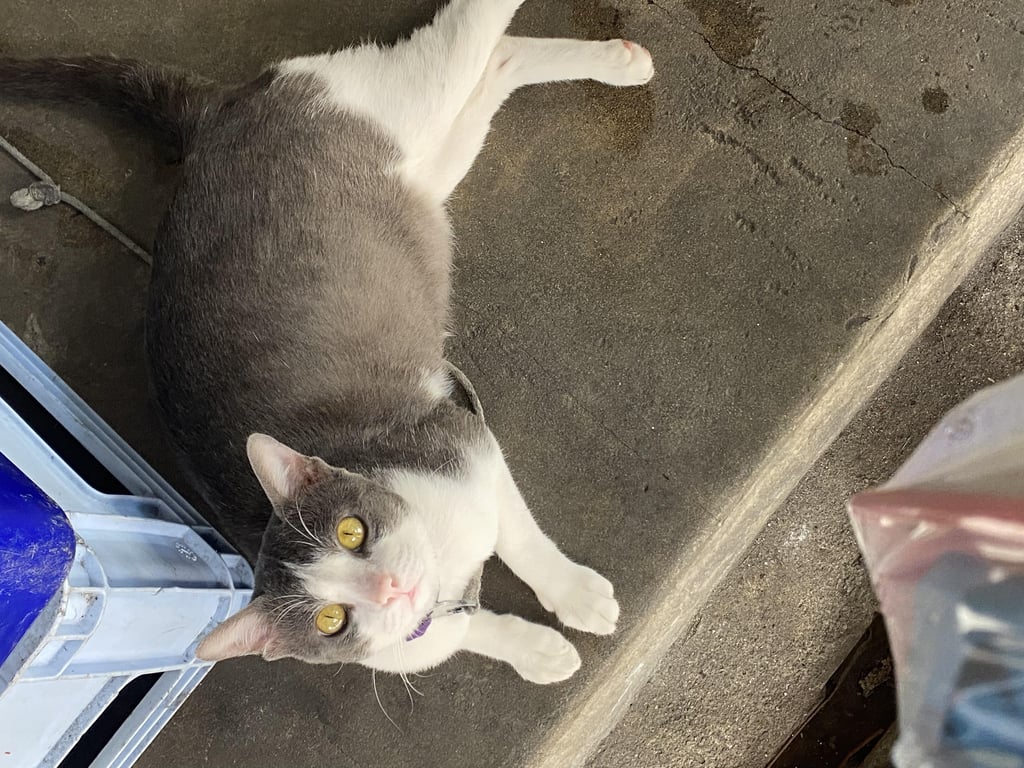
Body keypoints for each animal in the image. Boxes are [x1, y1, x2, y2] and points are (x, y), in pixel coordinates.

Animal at [0, 0, 653, 684]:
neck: (442, 567)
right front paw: (534, 649)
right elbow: (469, 630)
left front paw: (571, 591)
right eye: (331, 620)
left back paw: (605, 53)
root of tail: (211, 120)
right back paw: (621, 60)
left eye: (350, 532)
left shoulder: (462, 441)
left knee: (465, 33)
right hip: (426, 161)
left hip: (410, 103)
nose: (392, 590)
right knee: (495, 61)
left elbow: (518, 538)